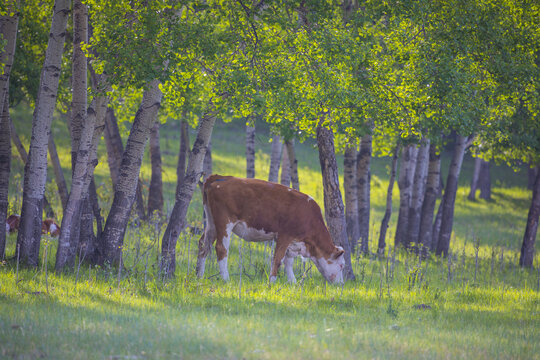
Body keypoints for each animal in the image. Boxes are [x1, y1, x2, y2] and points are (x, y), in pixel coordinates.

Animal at [196, 175, 344, 284]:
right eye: (342, 265)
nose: (341, 284)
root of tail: (222, 177)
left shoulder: (294, 242)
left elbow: (288, 261)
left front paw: (292, 283)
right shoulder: (284, 235)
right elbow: (278, 259)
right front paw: (272, 282)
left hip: (211, 222)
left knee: (204, 245)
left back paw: (199, 275)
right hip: (224, 222)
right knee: (221, 248)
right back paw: (225, 279)